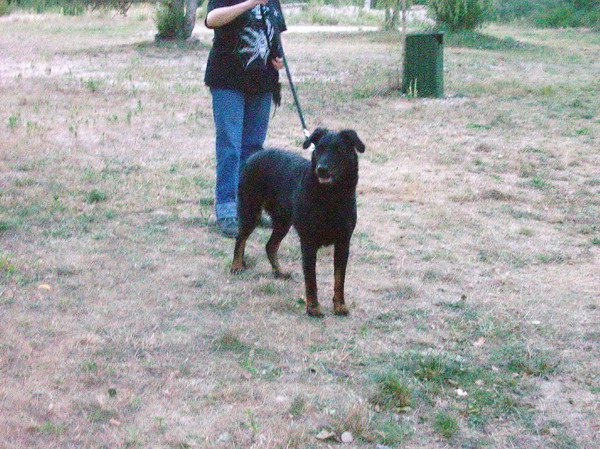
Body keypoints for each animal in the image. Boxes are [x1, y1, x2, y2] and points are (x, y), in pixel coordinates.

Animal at [231, 126, 366, 316]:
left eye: (339, 150)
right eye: (319, 149)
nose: (321, 169)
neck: (331, 196)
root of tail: (254, 156)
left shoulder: (343, 242)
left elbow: (339, 279)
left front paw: (339, 305)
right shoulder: (309, 243)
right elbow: (311, 280)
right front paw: (313, 308)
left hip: (283, 221)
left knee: (270, 245)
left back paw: (279, 272)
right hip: (251, 211)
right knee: (240, 238)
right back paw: (236, 265)